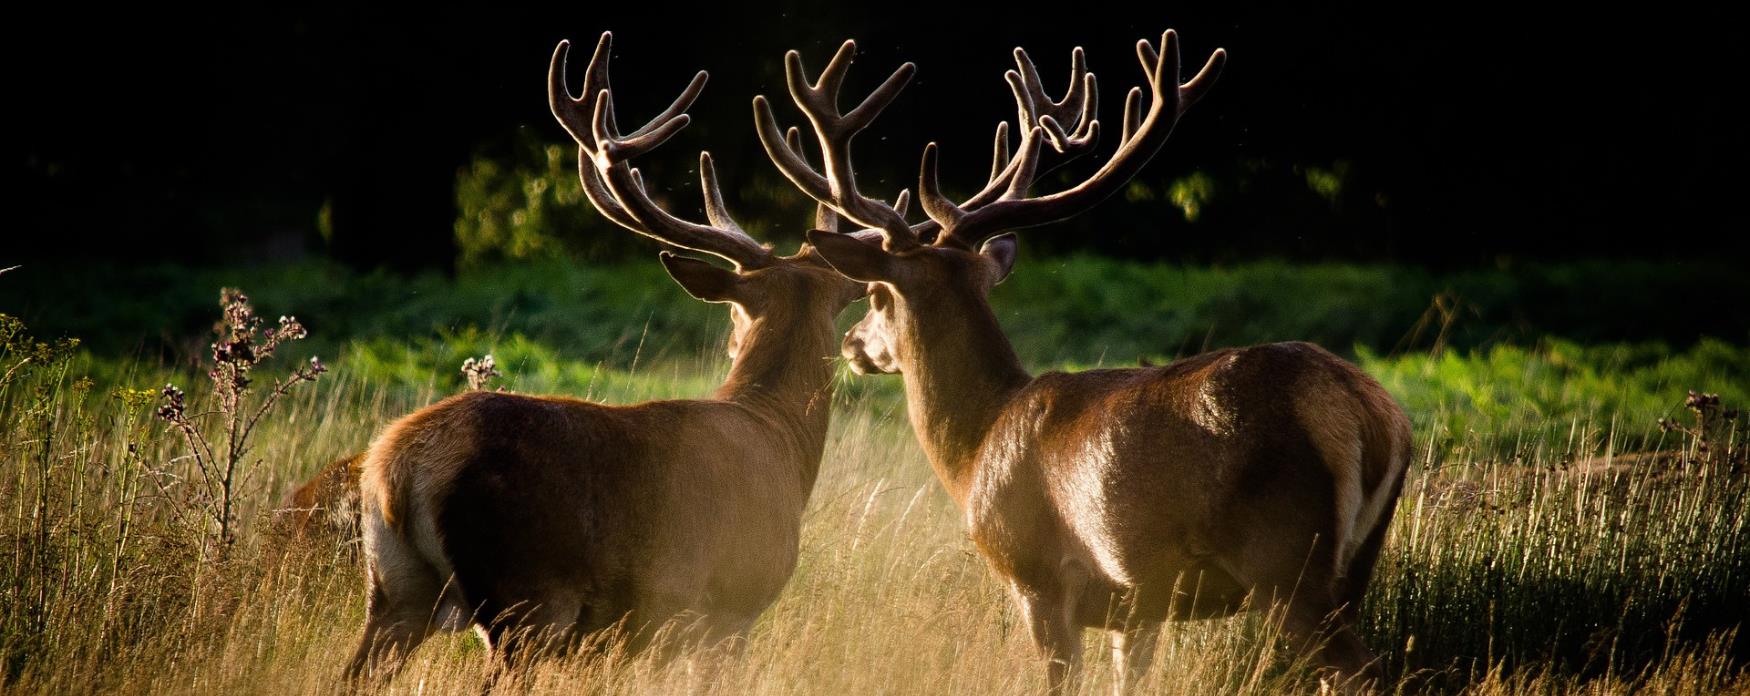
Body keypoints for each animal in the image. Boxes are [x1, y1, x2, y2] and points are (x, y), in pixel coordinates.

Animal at [759, 27, 1414, 689]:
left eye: (875, 293)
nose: (851, 343)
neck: (976, 450)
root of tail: (1369, 415)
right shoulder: (1140, 605)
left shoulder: (1038, 576)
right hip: (1355, 563)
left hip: (1283, 555)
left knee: (1363, 669)